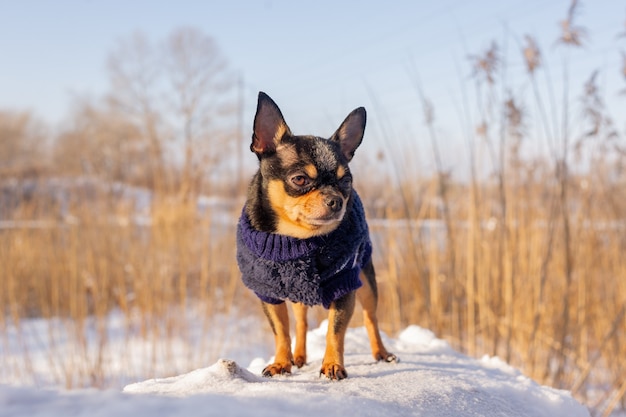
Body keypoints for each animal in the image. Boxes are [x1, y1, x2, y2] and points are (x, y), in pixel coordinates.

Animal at [235, 92, 394, 378]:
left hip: (366, 279)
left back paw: (381, 353)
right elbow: (281, 332)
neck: (296, 239)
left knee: (371, 317)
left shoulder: (345, 284)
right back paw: (298, 356)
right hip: (299, 293)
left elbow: (335, 331)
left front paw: (332, 365)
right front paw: (281, 362)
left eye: (346, 182)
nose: (336, 201)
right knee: (300, 321)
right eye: (299, 179)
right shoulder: (268, 292)